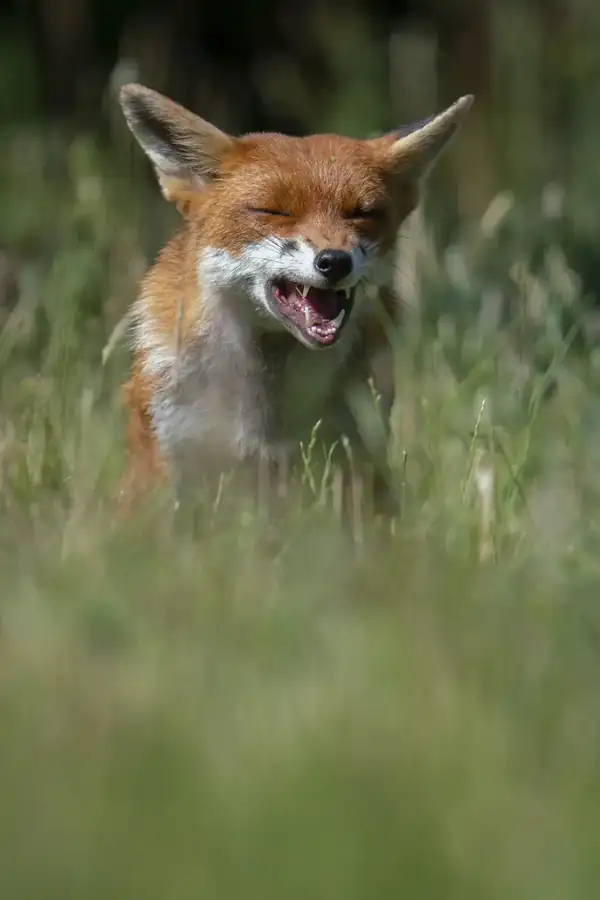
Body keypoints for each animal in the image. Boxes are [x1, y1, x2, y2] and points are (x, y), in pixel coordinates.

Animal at [117, 83, 473, 520]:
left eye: (363, 213)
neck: (267, 413)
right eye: (273, 210)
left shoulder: (350, 453)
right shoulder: (171, 453)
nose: (334, 261)